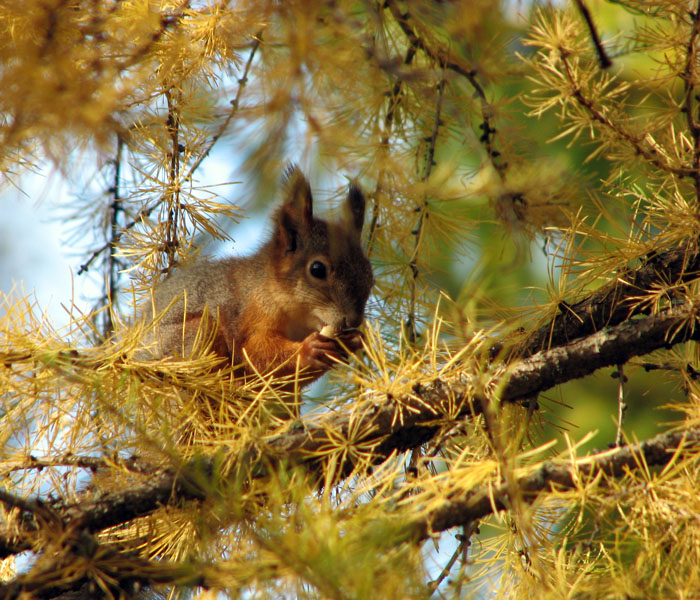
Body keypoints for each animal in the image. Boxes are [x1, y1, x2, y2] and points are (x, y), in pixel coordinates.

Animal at [139, 166, 374, 386]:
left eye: (370, 276)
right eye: (317, 269)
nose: (354, 320)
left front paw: (353, 341)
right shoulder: (252, 313)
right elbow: (255, 352)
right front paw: (308, 350)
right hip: (190, 336)